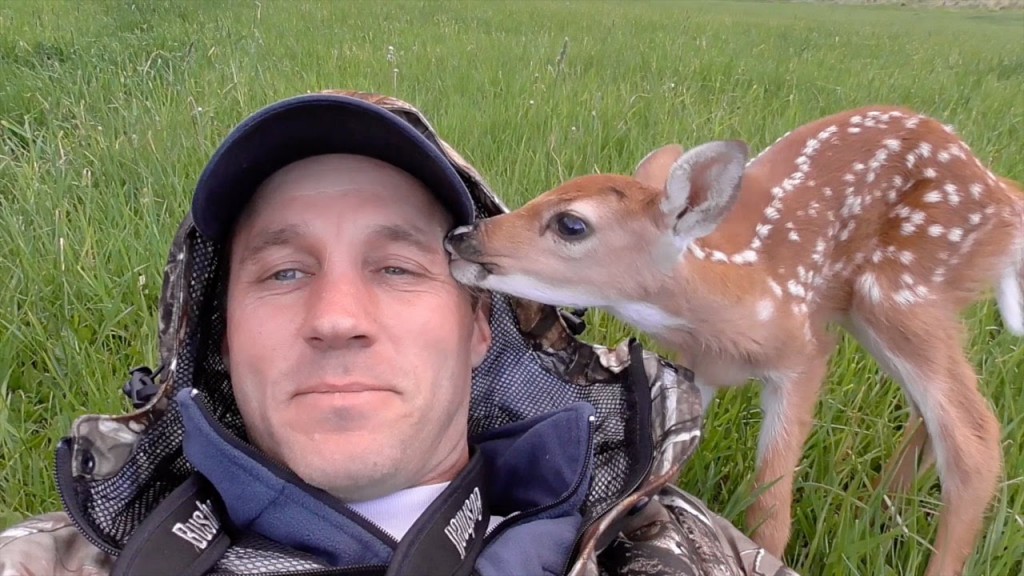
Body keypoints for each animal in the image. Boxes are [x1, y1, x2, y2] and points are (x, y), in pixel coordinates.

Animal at [443, 105, 1022, 576]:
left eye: (571, 224)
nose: (461, 236)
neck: (733, 305)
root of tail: (1002, 193)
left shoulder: (804, 355)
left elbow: (769, 514)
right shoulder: (696, 370)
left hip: (905, 293)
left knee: (973, 437)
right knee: (930, 417)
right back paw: (880, 510)